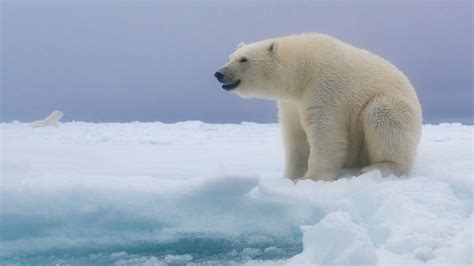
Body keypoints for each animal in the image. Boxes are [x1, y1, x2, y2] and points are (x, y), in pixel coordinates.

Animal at [215, 32, 422, 180]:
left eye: (244, 59)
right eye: (229, 58)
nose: (219, 74)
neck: (302, 72)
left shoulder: (324, 87)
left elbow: (325, 132)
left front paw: (312, 178)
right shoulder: (291, 103)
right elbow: (295, 135)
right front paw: (290, 177)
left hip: (394, 106)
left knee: (383, 114)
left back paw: (380, 167)